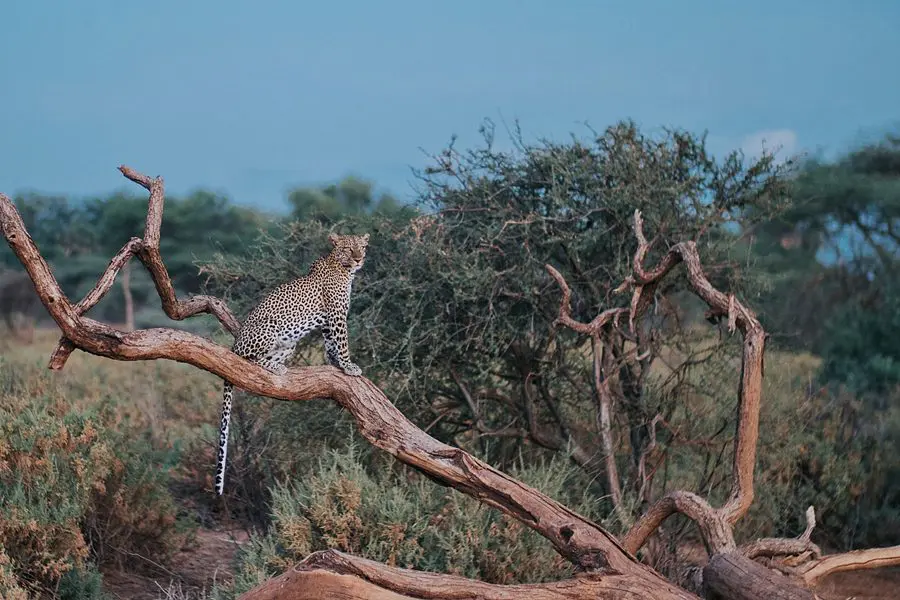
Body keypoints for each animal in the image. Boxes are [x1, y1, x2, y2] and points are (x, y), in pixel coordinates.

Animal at [214, 232, 370, 494]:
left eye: (362, 247)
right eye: (349, 249)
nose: (359, 259)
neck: (344, 269)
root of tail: (234, 344)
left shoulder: (327, 322)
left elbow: (331, 344)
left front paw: (336, 363)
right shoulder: (337, 315)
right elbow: (343, 343)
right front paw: (349, 366)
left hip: (289, 344)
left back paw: (278, 367)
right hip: (270, 328)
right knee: (249, 360)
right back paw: (273, 367)